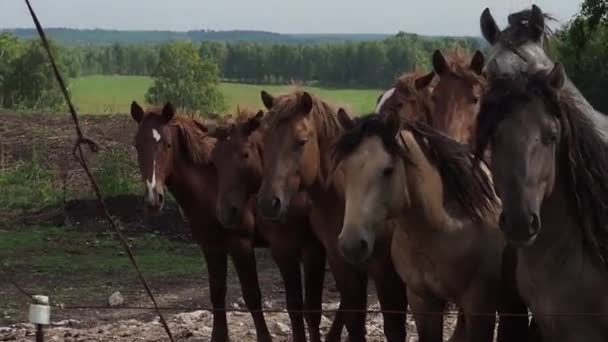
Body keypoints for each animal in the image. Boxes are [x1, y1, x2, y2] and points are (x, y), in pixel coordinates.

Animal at [133, 102, 274, 342]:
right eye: (136, 145)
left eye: (168, 144)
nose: (153, 199)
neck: (212, 185)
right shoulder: (211, 246)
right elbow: (217, 293)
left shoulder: (241, 244)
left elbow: (252, 295)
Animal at [209, 108, 332, 340]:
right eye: (214, 160)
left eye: (245, 154)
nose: (225, 213)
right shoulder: (282, 250)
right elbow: (294, 307)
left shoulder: (314, 250)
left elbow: (313, 310)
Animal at [254, 89, 406, 342]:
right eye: (264, 140)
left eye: (301, 141)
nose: (268, 203)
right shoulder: (341, 264)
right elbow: (354, 323)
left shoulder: (386, 272)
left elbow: (394, 329)